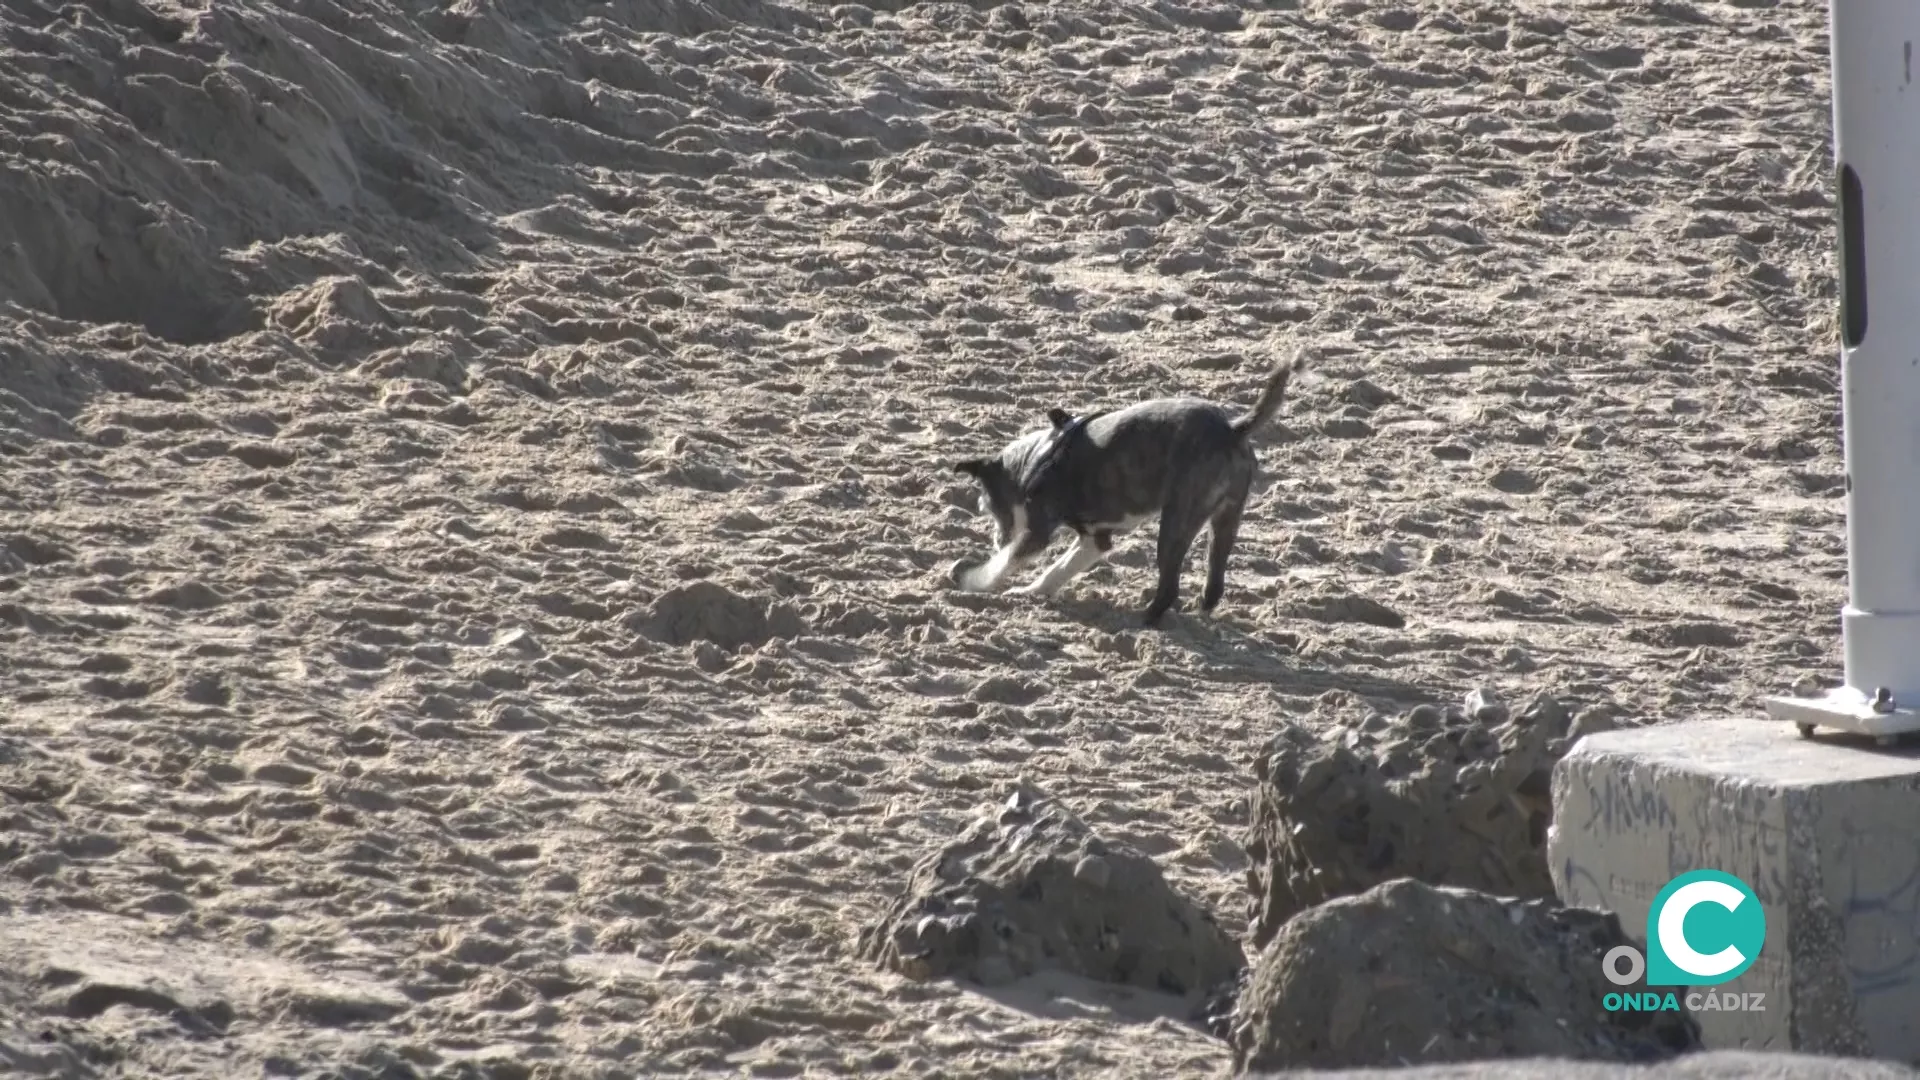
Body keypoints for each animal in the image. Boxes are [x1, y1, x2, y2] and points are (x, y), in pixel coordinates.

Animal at [944, 353, 1305, 622]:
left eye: (988, 507)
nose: (996, 539)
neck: (1038, 457)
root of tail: (1233, 429)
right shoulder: (1095, 539)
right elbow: (1059, 569)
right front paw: (1030, 592)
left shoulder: (1037, 532)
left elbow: (1006, 562)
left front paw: (976, 581)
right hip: (1226, 519)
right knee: (1214, 583)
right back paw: (1200, 615)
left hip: (1177, 521)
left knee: (1169, 587)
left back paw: (1143, 619)